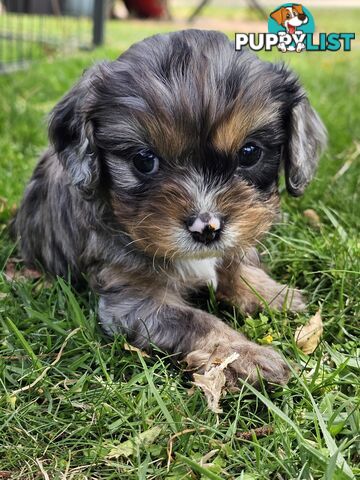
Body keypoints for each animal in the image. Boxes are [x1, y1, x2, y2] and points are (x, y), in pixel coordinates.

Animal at [12, 30, 326, 388]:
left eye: (249, 153)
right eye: (144, 160)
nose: (206, 228)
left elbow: (234, 266)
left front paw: (270, 293)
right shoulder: (134, 300)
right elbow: (198, 321)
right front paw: (246, 355)